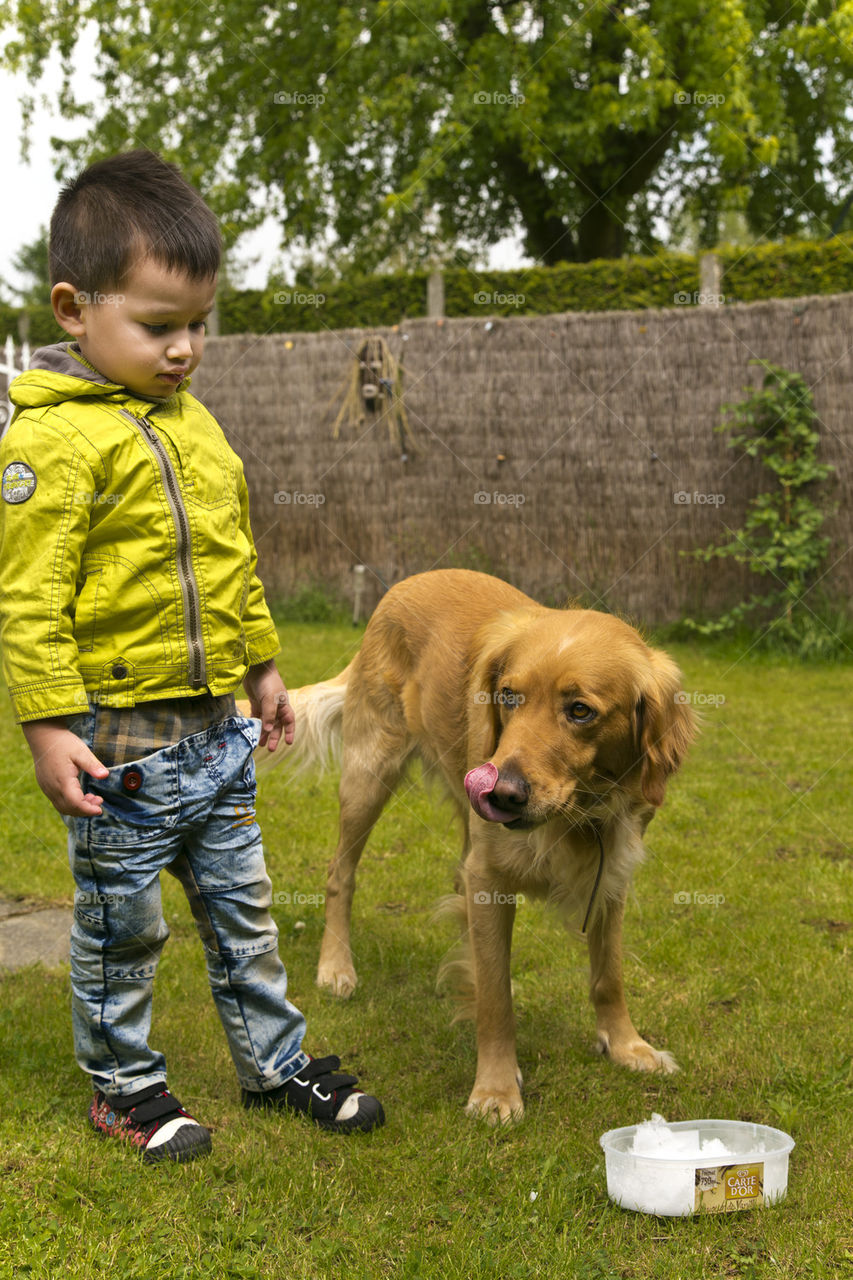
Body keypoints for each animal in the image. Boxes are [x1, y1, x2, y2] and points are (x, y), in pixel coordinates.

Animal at [249, 570, 696, 1121]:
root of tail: (404, 583)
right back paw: (336, 966)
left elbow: (607, 975)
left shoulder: (611, 874)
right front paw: (496, 1090)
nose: (502, 793)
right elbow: (495, 999)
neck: (575, 813)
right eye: (508, 696)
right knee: (340, 874)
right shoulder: (490, 877)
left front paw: (627, 1045)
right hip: (369, 775)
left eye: (580, 711)